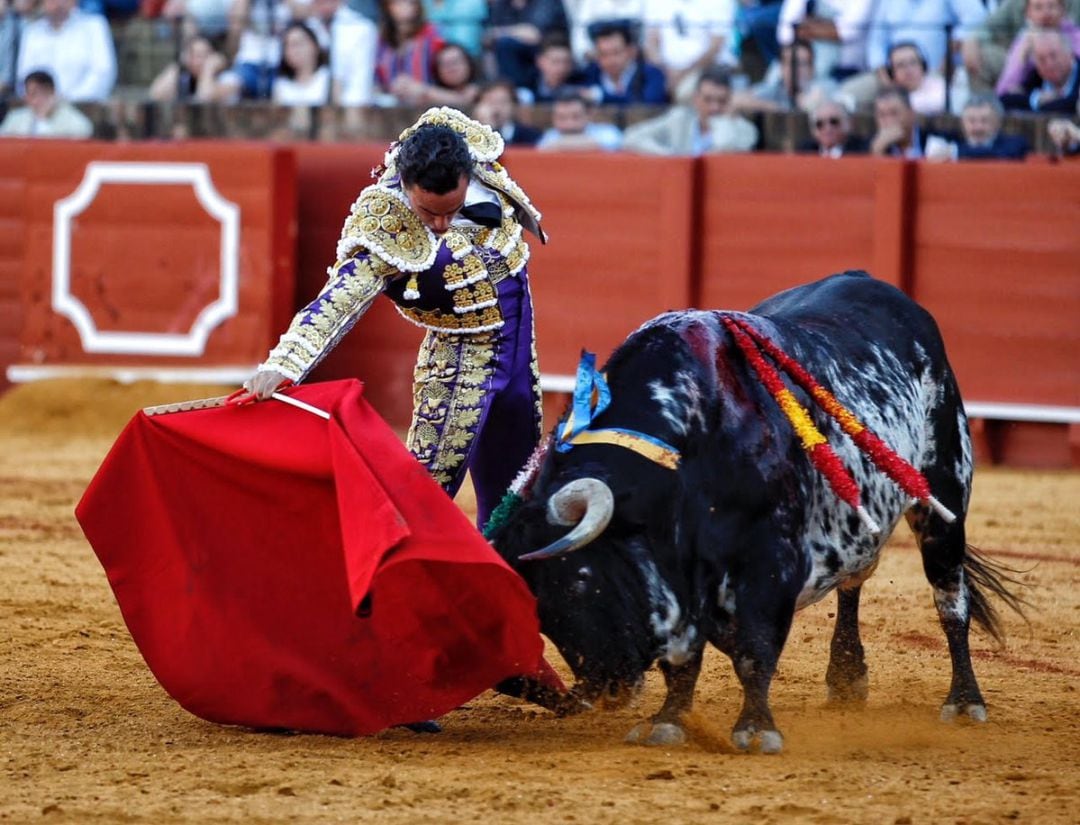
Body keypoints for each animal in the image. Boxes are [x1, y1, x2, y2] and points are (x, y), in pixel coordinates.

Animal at [490, 272, 1019, 755]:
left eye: (580, 577)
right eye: (537, 606)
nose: (604, 690)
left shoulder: (771, 560)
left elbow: (755, 649)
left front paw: (756, 729)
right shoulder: (686, 579)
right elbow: (684, 662)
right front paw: (668, 721)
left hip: (944, 499)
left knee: (951, 600)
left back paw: (965, 702)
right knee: (854, 580)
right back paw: (847, 678)